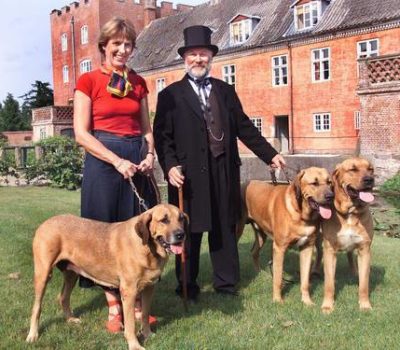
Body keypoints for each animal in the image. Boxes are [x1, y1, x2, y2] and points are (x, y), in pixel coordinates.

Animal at [26, 204, 188, 348]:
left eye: (181, 218)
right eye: (164, 220)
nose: (181, 235)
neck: (148, 248)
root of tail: (46, 222)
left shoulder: (150, 287)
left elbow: (145, 314)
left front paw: (147, 334)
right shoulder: (129, 291)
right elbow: (130, 324)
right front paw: (134, 345)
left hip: (71, 274)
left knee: (63, 297)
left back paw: (70, 319)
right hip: (43, 274)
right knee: (37, 307)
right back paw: (33, 334)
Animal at [238, 168, 334, 304]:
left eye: (329, 182)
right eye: (314, 183)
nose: (331, 196)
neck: (301, 214)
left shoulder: (307, 247)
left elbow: (305, 279)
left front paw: (307, 301)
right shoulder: (279, 248)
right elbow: (278, 279)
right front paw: (278, 300)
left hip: (261, 234)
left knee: (254, 251)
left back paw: (260, 273)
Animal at [318, 157, 376, 314]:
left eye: (370, 169)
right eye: (353, 169)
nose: (370, 179)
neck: (350, 213)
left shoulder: (365, 250)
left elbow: (364, 284)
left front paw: (365, 304)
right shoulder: (330, 250)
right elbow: (329, 284)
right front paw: (327, 305)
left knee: (350, 254)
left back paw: (354, 271)